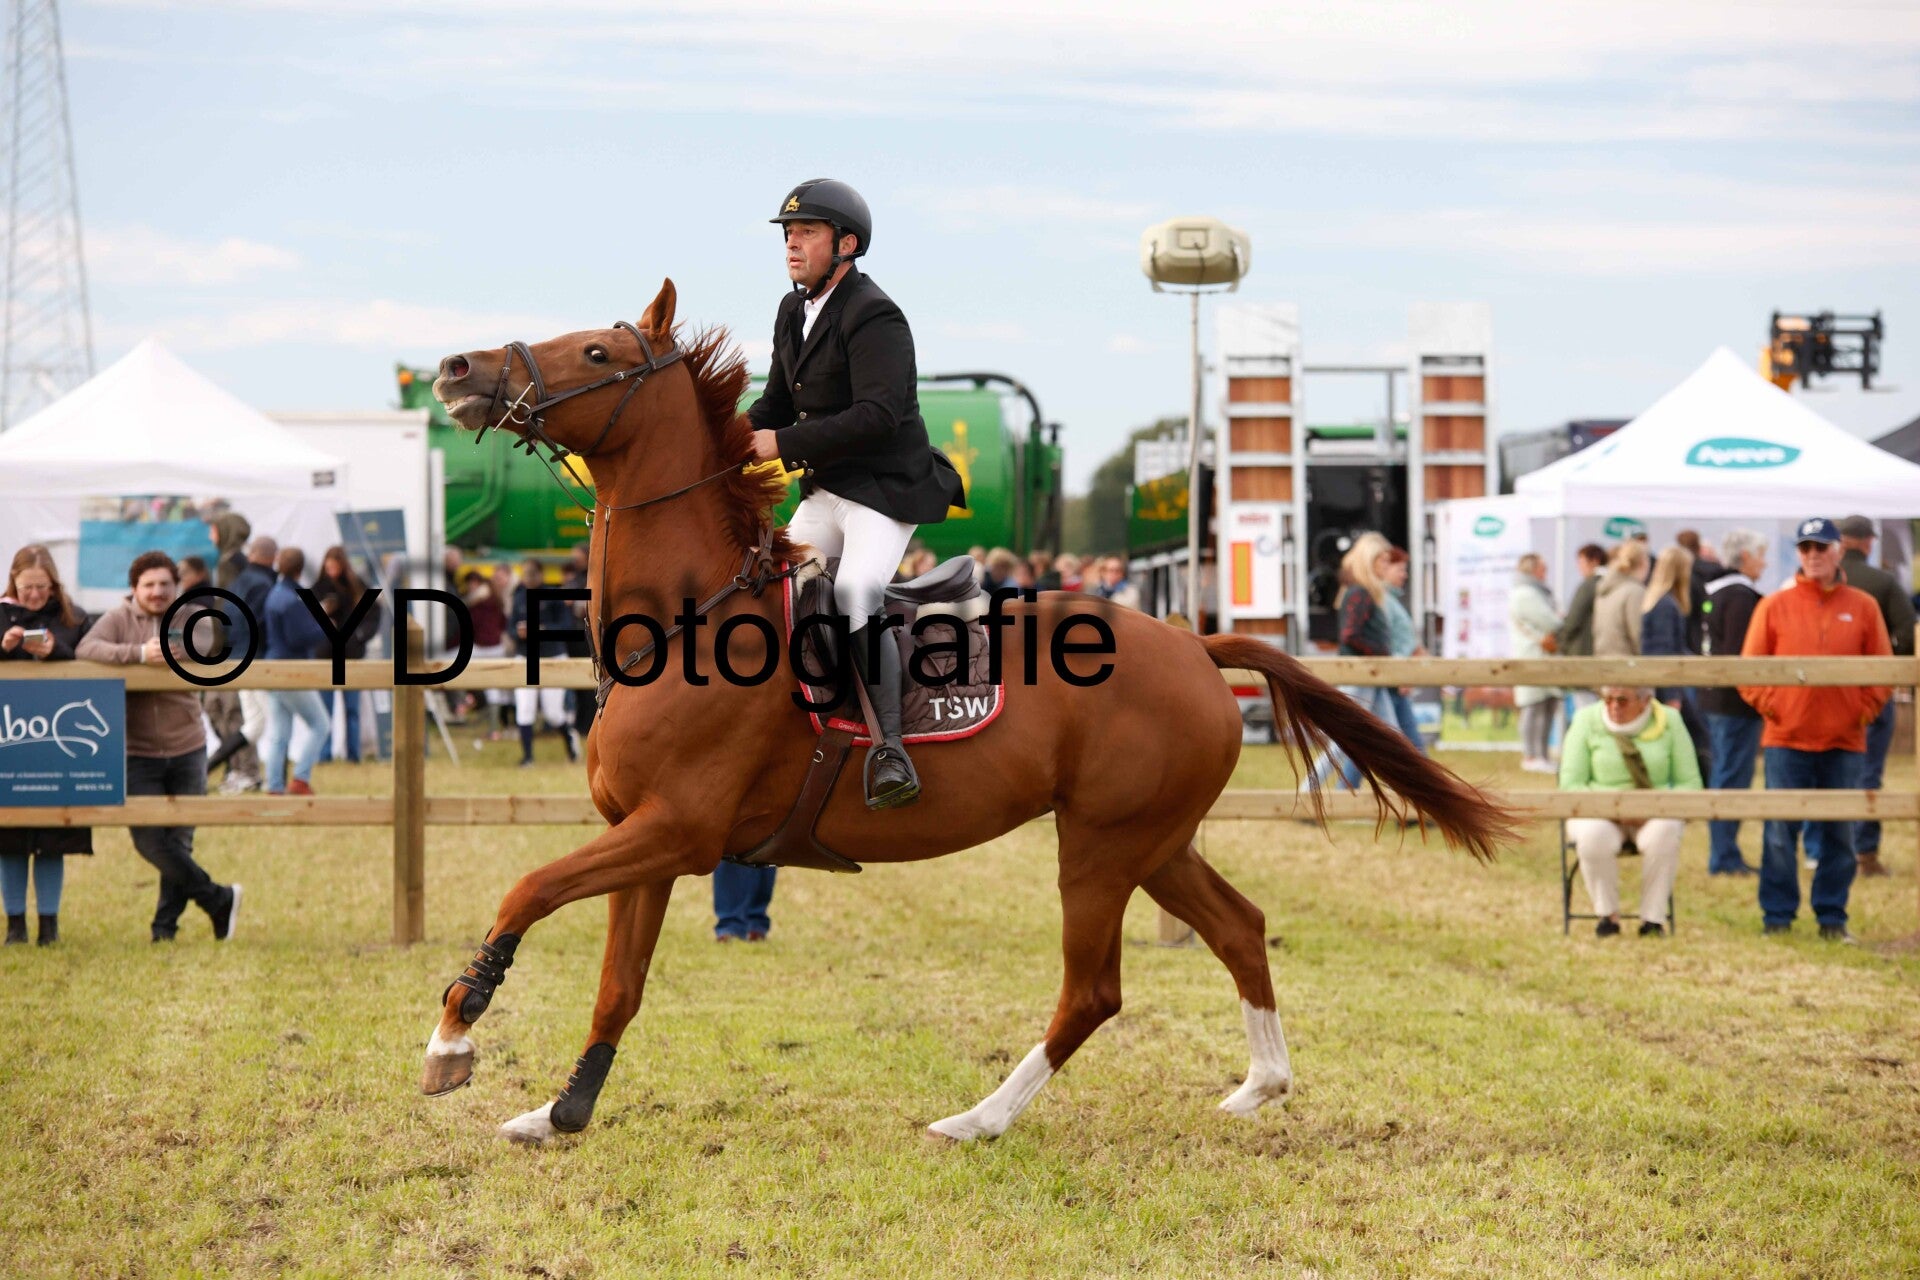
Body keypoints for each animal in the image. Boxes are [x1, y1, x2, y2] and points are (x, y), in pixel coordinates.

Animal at [422, 280, 1520, 1145]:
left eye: (596, 353)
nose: (457, 367)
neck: (692, 621)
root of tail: (1191, 642)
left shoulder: (677, 830)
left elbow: (526, 889)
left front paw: (454, 1035)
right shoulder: (644, 838)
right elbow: (618, 981)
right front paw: (562, 1112)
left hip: (1102, 846)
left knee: (1094, 989)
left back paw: (979, 1118)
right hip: (1153, 840)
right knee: (1241, 929)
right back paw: (1261, 1083)